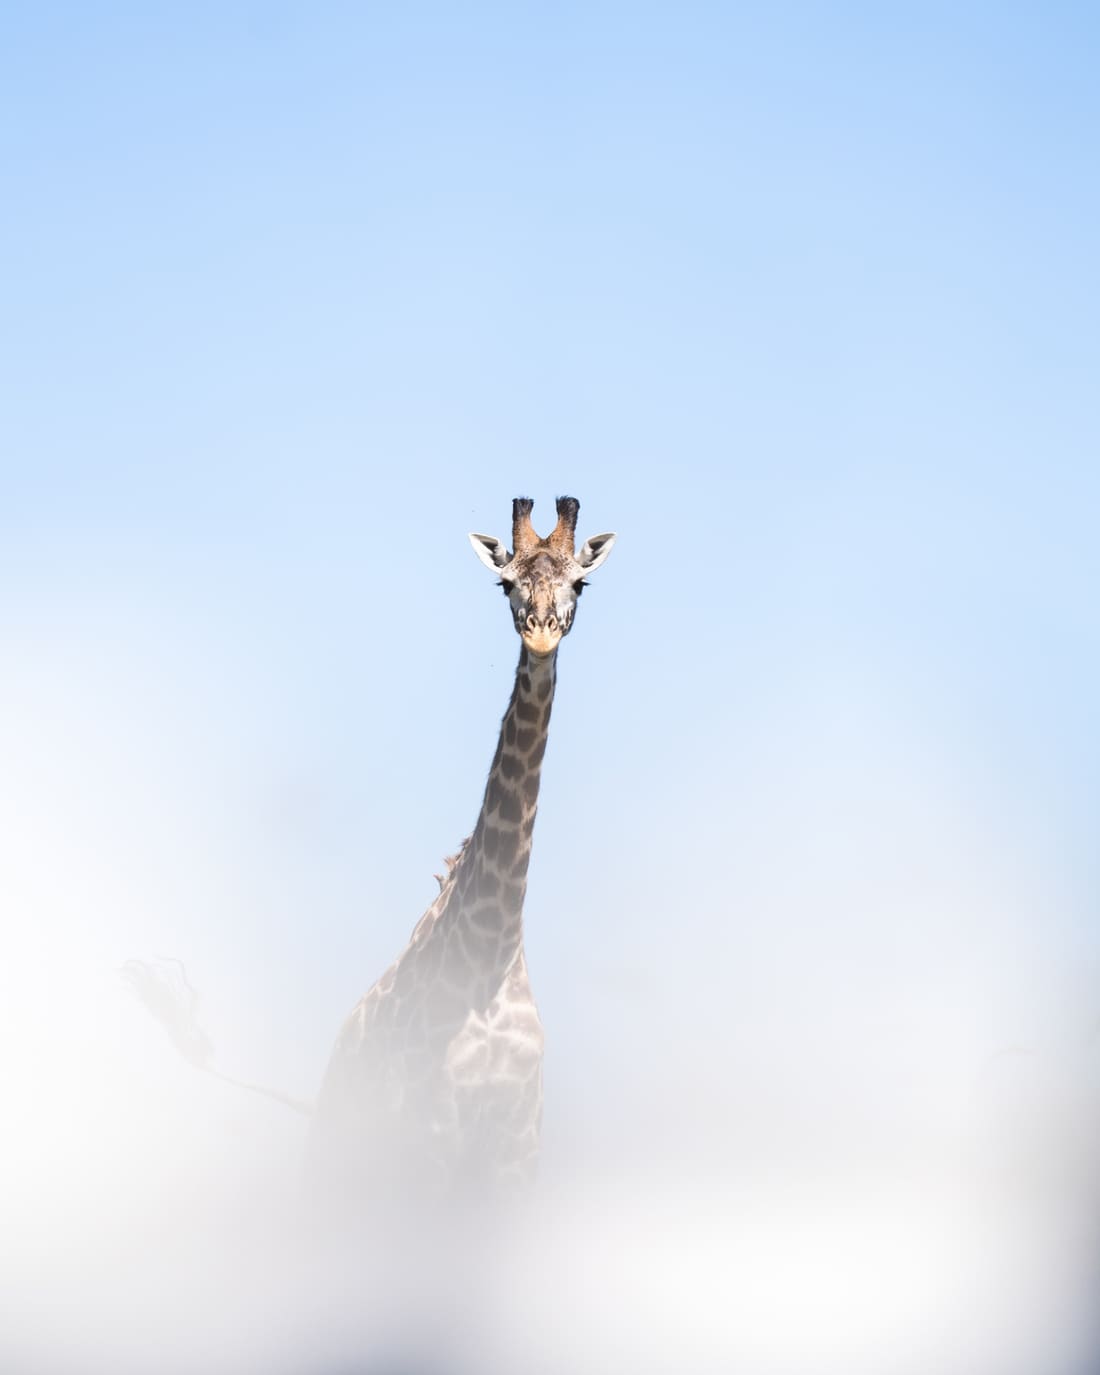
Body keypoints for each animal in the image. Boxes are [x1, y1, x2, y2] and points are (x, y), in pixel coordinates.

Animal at [308, 495, 616, 1202]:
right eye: (505, 584)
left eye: (580, 583)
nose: (540, 635)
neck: (487, 958)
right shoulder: (432, 1143)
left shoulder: (516, 1154)